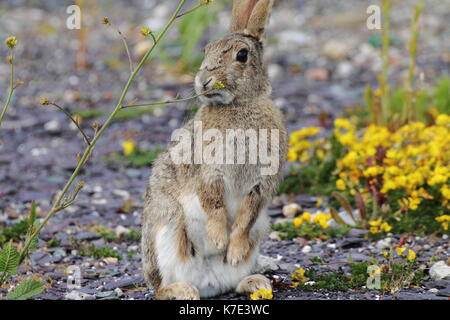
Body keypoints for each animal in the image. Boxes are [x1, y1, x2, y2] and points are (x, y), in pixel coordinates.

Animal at [142, 0, 286, 300]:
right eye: (206, 49)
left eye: (242, 55)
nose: (204, 81)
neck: (239, 105)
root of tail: (208, 283)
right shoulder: (209, 172)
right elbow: (214, 204)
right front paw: (219, 240)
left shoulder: (261, 183)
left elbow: (246, 217)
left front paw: (232, 251)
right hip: (167, 226)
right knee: (160, 288)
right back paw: (184, 290)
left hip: (259, 232)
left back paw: (256, 282)